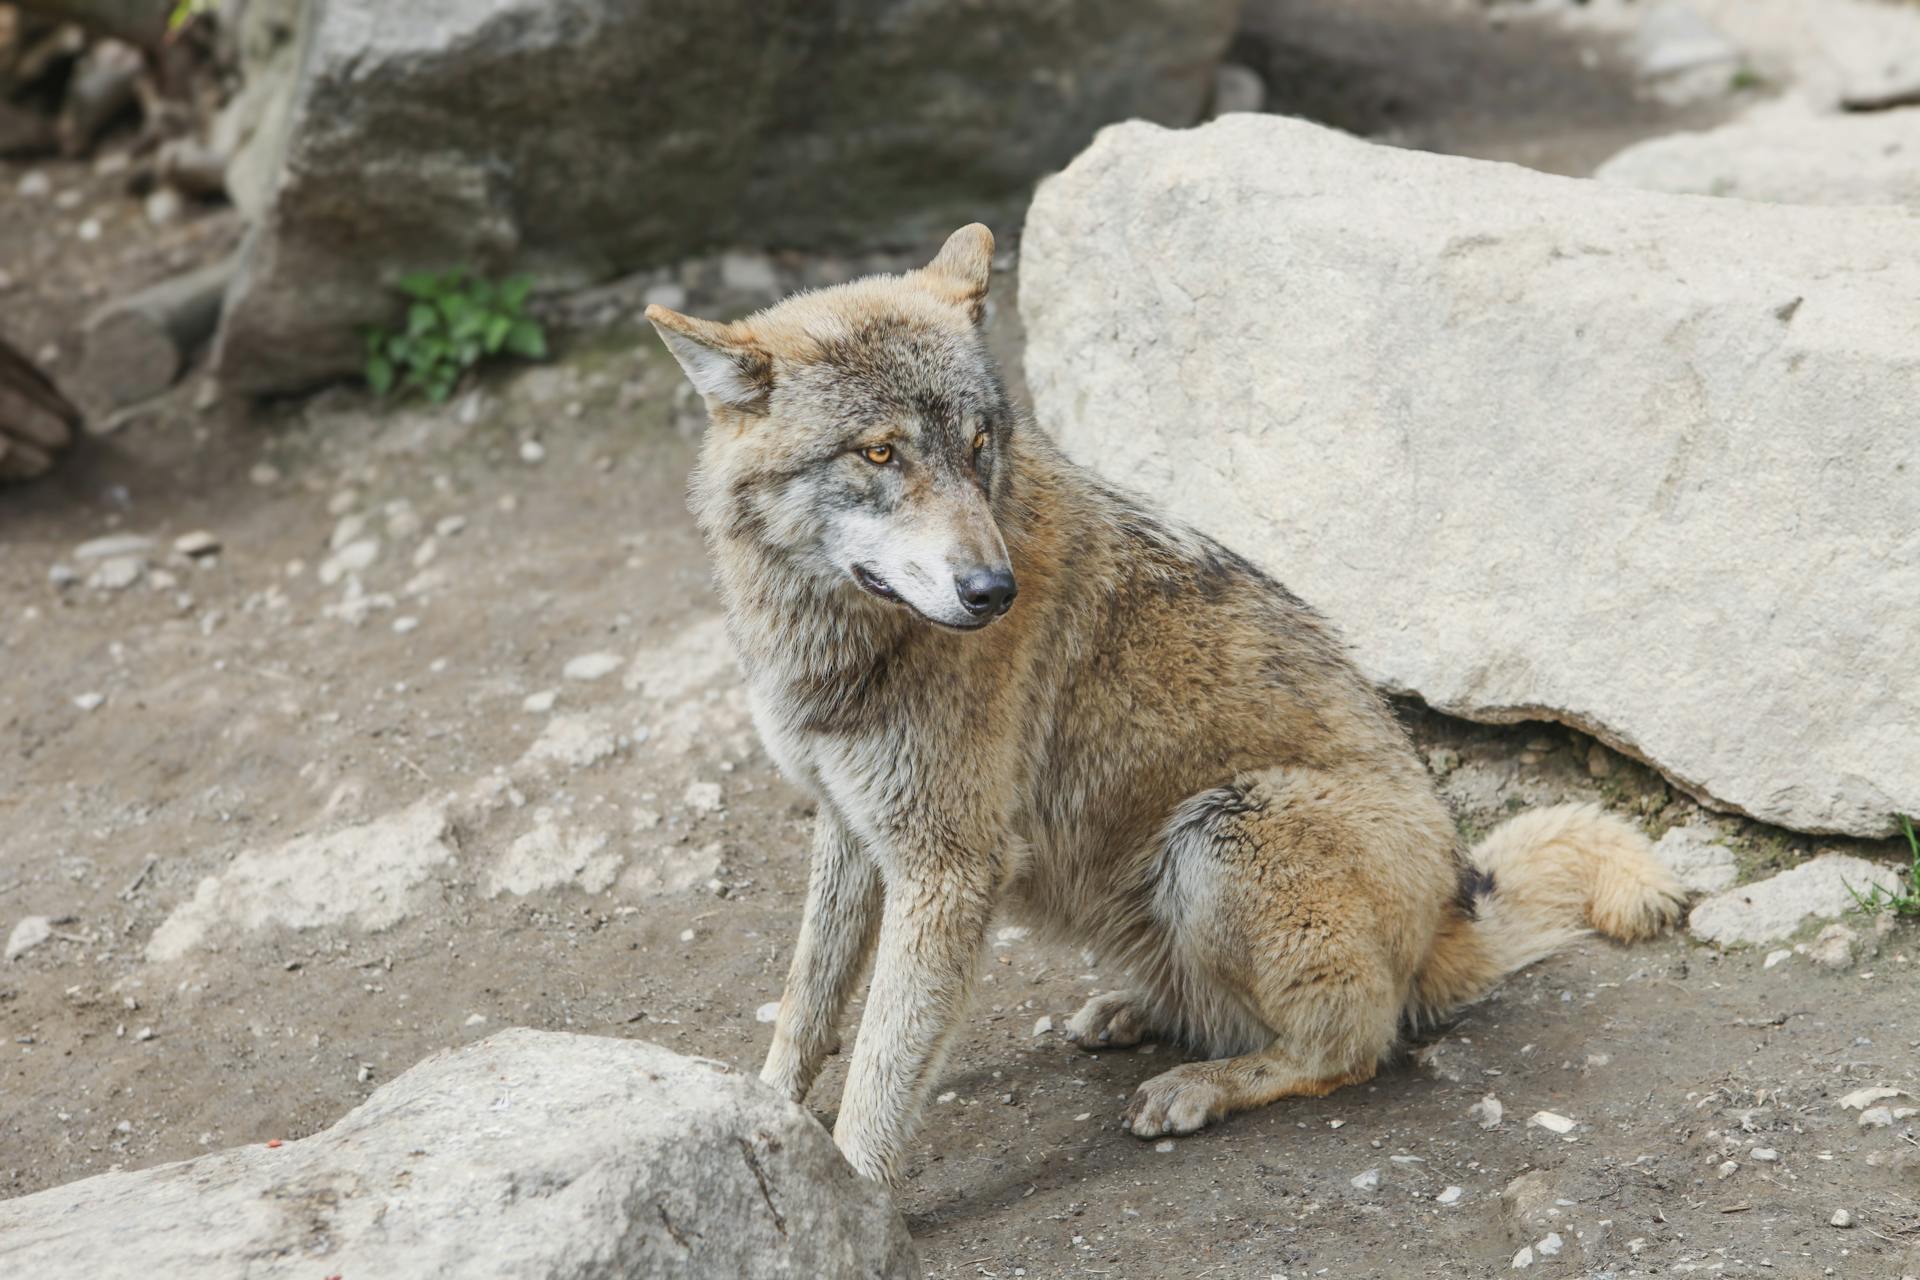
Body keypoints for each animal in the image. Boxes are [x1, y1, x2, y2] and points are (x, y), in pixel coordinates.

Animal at [645, 225, 1681, 1189]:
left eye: (979, 447)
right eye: (879, 451)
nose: (992, 592)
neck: (842, 643)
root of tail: (1453, 921)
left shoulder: (949, 869)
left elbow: (879, 1073)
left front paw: (854, 1201)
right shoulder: (849, 828)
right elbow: (807, 1009)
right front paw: (764, 1122)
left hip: (1221, 837)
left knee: (1353, 1046)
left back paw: (1199, 1086)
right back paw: (1134, 1015)